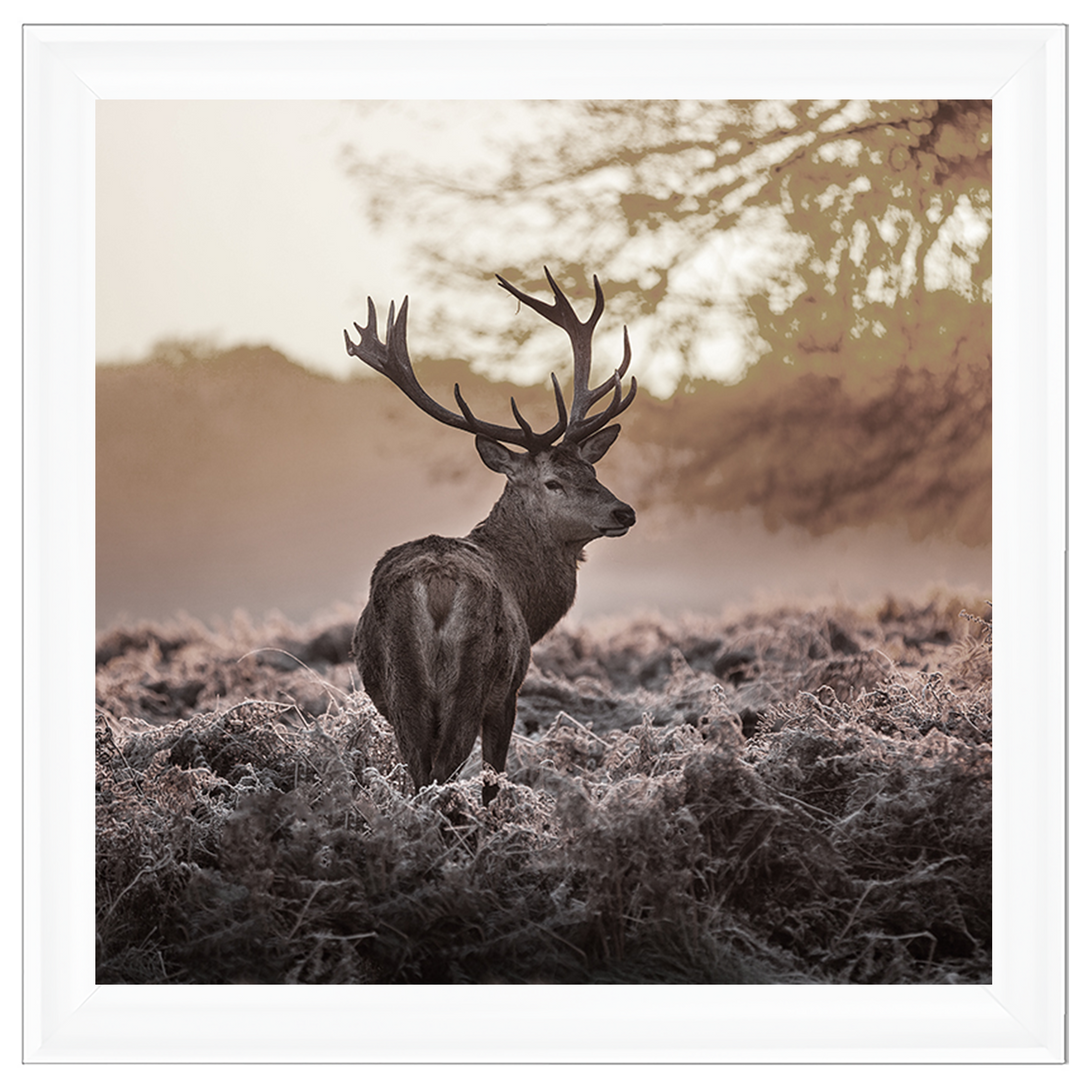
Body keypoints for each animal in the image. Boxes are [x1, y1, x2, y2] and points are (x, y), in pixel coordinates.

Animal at [345, 268, 637, 806]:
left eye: (591, 469)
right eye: (553, 481)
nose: (623, 511)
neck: (528, 597)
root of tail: (435, 586)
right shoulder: (509, 692)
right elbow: (493, 779)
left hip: (402, 689)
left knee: (419, 772)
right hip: (472, 680)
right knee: (443, 772)